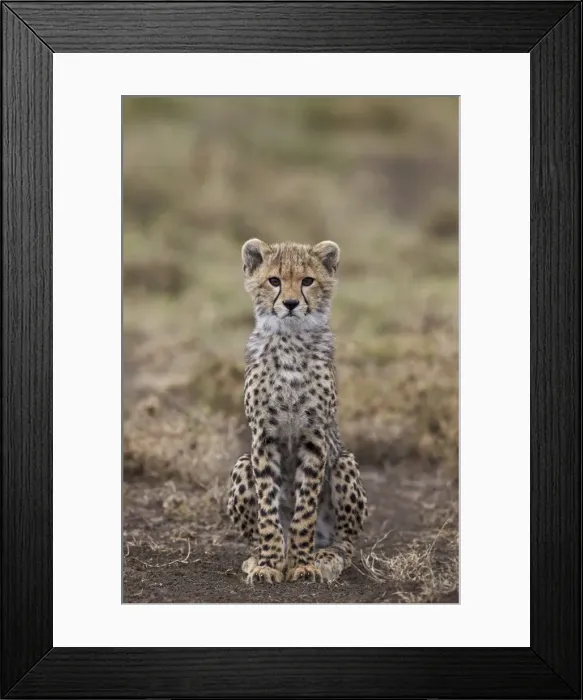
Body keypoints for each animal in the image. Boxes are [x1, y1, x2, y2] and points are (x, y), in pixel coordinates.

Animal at [227, 238, 368, 584]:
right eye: (274, 280)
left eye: (307, 281)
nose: (291, 304)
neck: (290, 341)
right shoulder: (263, 438)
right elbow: (267, 509)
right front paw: (269, 563)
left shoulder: (315, 437)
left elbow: (305, 510)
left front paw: (303, 564)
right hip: (241, 463)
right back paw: (259, 556)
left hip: (343, 462)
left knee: (345, 541)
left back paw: (326, 556)